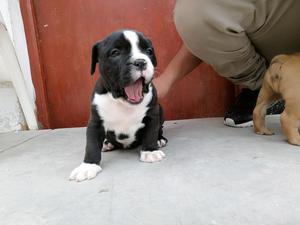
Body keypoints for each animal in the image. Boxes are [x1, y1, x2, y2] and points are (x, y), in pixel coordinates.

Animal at [70, 29, 168, 181]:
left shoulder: (152, 115)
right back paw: (107, 143)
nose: (140, 62)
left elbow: (151, 132)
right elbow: (91, 145)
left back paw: (160, 140)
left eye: (149, 51)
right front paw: (88, 166)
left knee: (159, 129)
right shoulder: (95, 122)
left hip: (161, 111)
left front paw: (150, 151)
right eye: (115, 53)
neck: (122, 101)